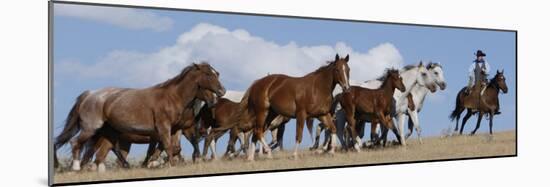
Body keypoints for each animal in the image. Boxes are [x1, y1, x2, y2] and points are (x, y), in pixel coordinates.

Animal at [55, 62, 227, 171]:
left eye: (217, 73)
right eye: (207, 74)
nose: (222, 92)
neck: (172, 97)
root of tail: (90, 94)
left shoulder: (171, 130)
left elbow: (168, 148)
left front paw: (156, 163)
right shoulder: (163, 127)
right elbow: (168, 147)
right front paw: (168, 165)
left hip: (109, 133)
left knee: (100, 153)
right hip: (91, 129)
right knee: (76, 143)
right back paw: (76, 167)